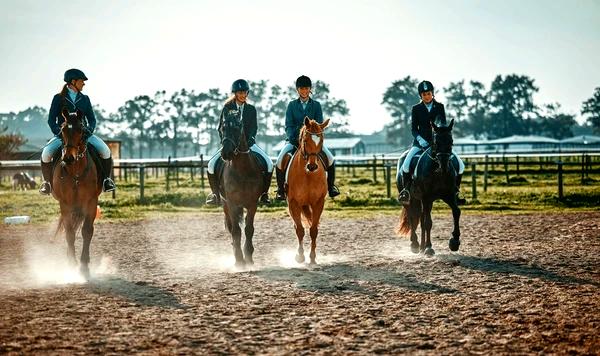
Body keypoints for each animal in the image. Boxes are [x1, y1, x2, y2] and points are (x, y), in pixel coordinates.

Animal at [51, 108, 101, 278]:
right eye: (62, 130)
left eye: (81, 130)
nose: (68, 158)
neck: (76, 172)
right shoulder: (65, 204)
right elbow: (70, 233)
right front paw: (72, 264)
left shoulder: (91, 202)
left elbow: (87, 231)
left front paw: (84, 265)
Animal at [284, 117, 328, 264]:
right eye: (305, 140)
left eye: (321, 140)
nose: (312, 166)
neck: (308, 175)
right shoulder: (293, 203)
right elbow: (300, 230)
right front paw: (300, 256)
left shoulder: (319, 202)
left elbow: (313, 230)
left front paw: (313, 257)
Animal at [396, 119, 462, 256]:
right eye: (435, 142)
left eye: (451, 141)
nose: (443, 166)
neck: (437, 172)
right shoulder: (426, 197)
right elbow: (428, 223)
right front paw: (429, 248)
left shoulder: (449, 195)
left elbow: (456, 212)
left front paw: (454, 242)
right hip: (410, 200)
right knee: (412, 217)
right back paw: (415, 245)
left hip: (423, 201)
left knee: (421, 218)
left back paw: (421, 247)